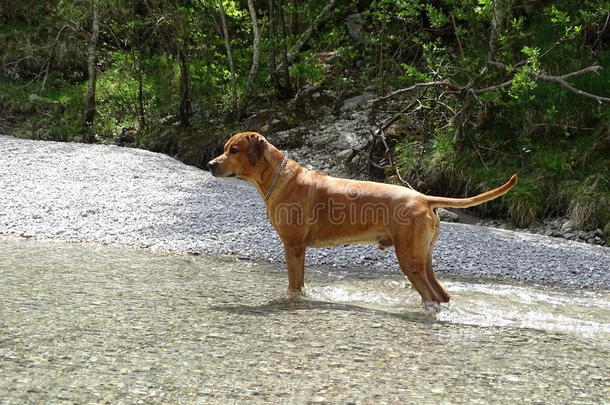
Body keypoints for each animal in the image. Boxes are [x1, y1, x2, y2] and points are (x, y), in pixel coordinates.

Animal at [207, 131, 516, 304]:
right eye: (224, 148)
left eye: (234, 150)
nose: (210, 164)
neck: (278, 178)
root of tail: (423, 197)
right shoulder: (299, 249)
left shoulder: (293, 246)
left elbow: (293, 284)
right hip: (422, 257)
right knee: (441, 294)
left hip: (408, 259)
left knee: (430, 296)